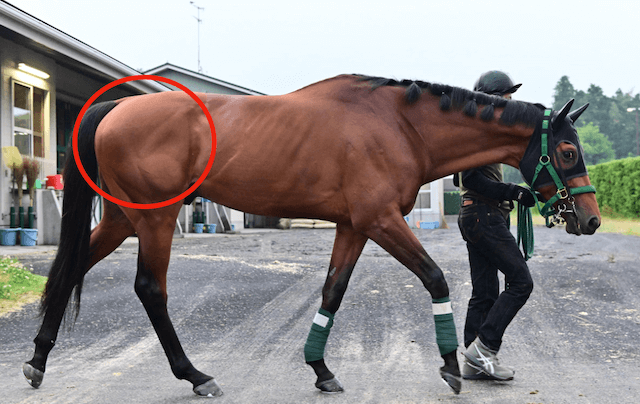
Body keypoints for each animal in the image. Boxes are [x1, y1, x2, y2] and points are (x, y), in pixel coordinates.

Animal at [22, 74, 601, 397]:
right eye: (568, 151)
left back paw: (37, 361)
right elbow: (435, 278)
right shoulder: (380, 220)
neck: (400, 126)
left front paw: (321, 368)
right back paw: (196, 375)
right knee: (150, 290)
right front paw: (450, 365)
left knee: (71, 268)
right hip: (157, 220)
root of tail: (116, 106)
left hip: (124, 219)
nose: (590, 219)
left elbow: (332, 292)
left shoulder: (354, 226)